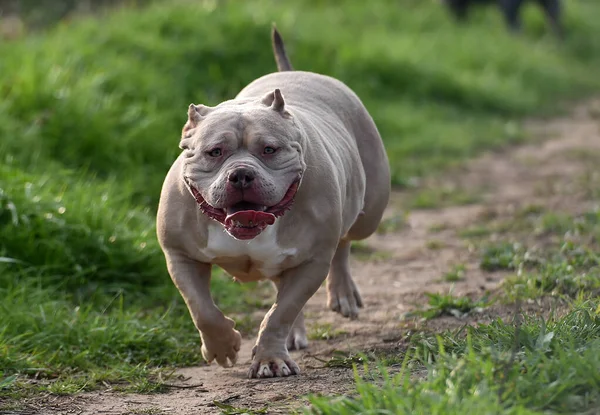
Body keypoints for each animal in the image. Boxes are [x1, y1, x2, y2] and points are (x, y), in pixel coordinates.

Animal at [155, 25, 392, 376]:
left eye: (269, 149)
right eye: (214, 152)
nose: (241, 174)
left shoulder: (312, 262)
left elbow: (281, 313)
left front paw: (270, 358)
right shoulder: (180, 255)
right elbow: (202, 309)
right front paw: (224, 347)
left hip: (369, 211)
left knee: (344, 242)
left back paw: (343, 294)